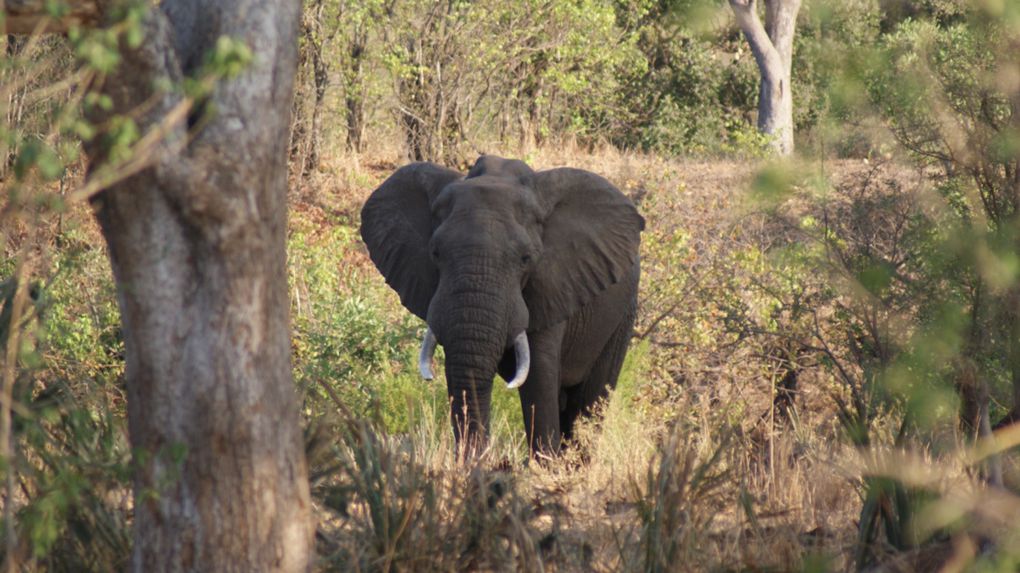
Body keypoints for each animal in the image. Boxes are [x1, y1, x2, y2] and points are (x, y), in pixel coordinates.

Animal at [363, 152, 640, 454]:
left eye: (526, 259)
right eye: (435, 253)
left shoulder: (553, 285)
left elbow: (539, 379)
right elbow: (458, 370)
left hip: (623, 315)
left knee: (590, 403)